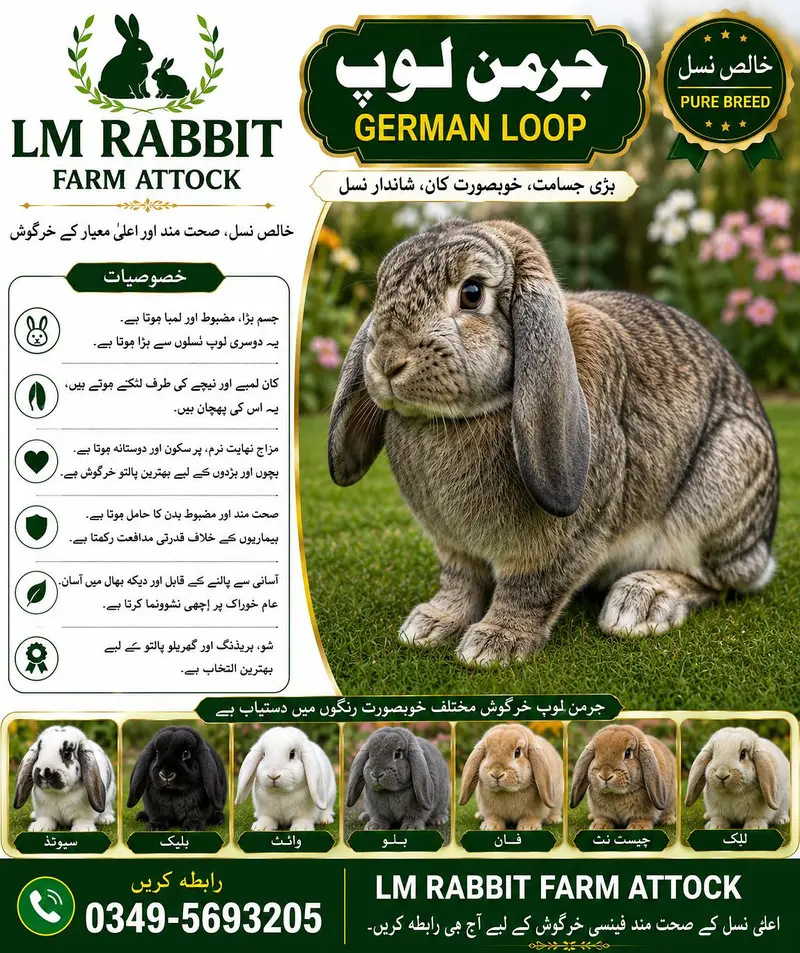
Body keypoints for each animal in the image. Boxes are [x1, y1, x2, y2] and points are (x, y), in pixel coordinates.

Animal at [328, 219, 778, 666]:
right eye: (382, 288)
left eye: (472, 293)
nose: (387, 361)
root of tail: (763, 546)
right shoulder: (454, 548)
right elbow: (460, 582)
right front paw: (429, 625)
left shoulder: (560, 545)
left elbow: (530, 590)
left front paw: (493, 645)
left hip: (725, 478)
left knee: (716, 580)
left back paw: (641, 603)